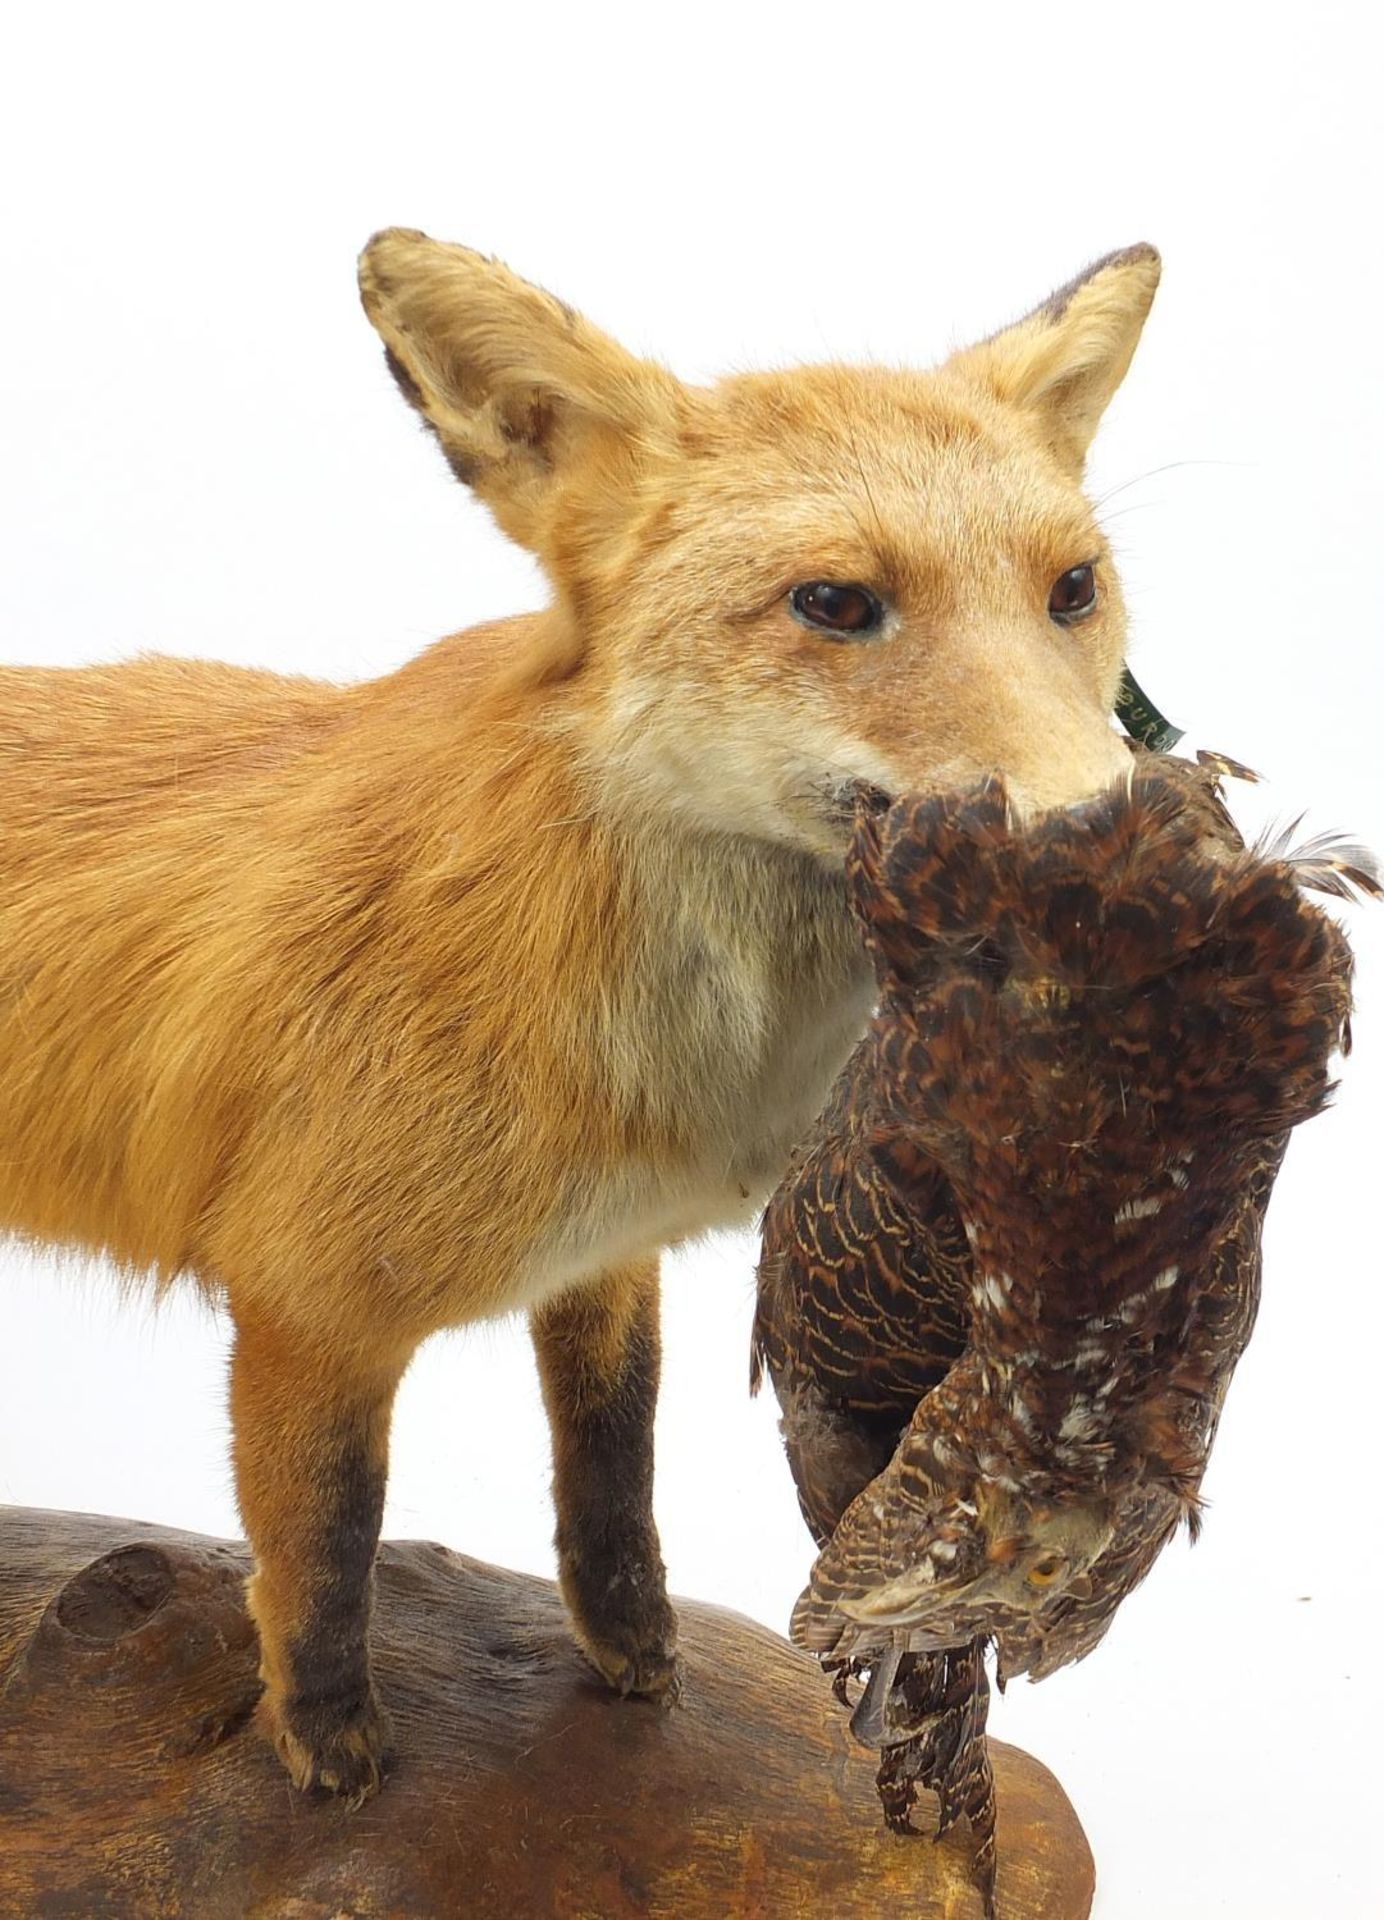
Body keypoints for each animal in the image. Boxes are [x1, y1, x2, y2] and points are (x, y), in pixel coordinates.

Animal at [2, 228, 1151, 1797]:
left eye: (1073, 591)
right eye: (836, 604)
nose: (1113, 842)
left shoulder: (606, 1260)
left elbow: (614, 1474)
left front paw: (632, 1661)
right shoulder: (304, 1304)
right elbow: (323, 1549)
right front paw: (326, 1750)